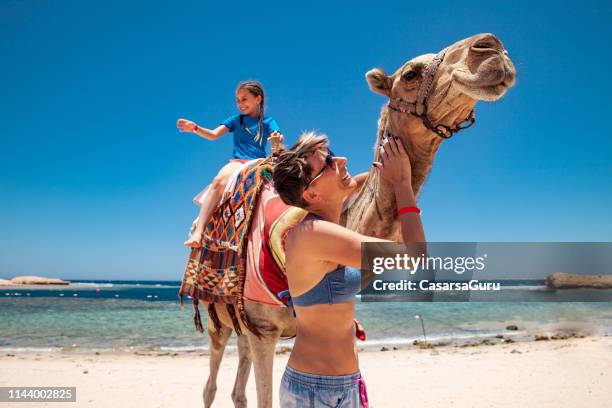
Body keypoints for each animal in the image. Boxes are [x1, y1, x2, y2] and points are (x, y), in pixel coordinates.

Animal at [196, 33, 516, 406]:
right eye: (410, 73)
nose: (491, 48)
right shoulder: (265, 331)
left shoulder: (269, 330)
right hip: (219, 321)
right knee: (211, 383)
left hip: (241, 326)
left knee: (237, 389)